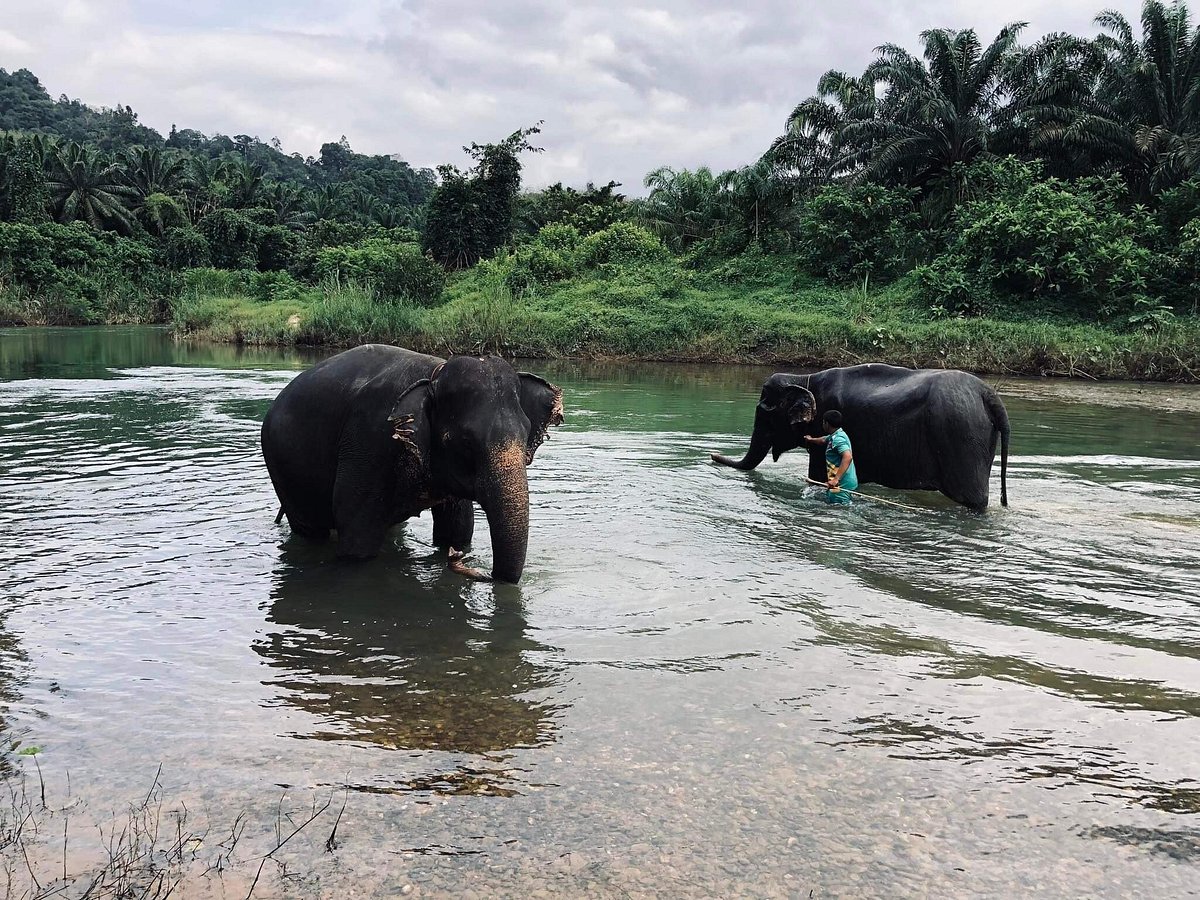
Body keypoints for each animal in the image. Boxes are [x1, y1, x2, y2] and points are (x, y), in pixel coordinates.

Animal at [262, 345, 561, 585]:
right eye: (465, 441)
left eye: (526, 434)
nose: (456, 559)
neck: (434, 374)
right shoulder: (370, 439)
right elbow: (357, 536)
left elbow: (458, 524)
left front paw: (451, 545)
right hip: (283, 469)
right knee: (311, 529)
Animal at [710, 362, 1012, 511]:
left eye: (764, 411)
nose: (713, 455)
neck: (804, 377)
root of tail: (990, 395)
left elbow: (818, 474)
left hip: (961, 434)